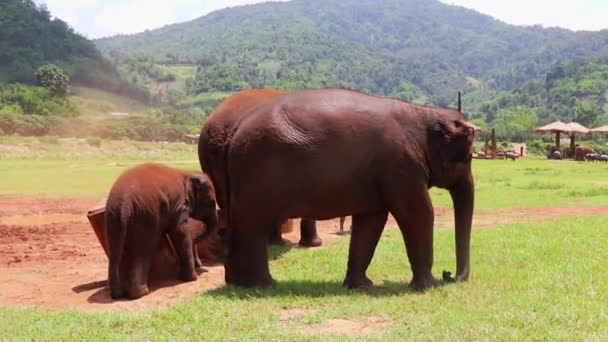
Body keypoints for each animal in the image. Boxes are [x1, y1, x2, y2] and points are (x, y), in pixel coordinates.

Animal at [105, 163, 218, 300]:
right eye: (212, 202)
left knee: (115, 250)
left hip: (113, 217)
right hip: (146, 215)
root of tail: (124, 204)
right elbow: (180, 232)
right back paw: (142, 293)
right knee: (143, 251)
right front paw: (191, 279)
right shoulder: (179, 205)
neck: (186, 173)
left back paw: (117, 294)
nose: (201, 266)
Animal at [222, 88, 476, 292]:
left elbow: (371, 220)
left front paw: (361, 285)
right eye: (468, 155)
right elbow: (418, 213)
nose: (448, 274)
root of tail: (234, 132)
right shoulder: (402, 165)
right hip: (257, 173)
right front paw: (429, 286)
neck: (424, 113)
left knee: (240, 224)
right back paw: (262, 285)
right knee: (254, 225)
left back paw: (237, 283)